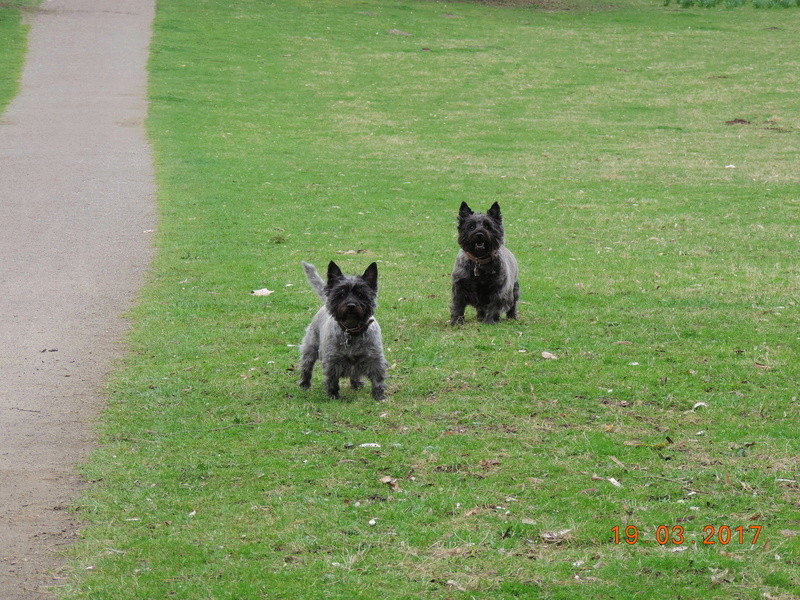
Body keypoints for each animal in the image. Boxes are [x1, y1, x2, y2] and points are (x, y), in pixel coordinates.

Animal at [300, 262, 388, 398]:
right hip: (311, 347)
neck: (352, 331)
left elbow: (378, 378)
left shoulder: (375, 358)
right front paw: (333, 395)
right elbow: (332, 379)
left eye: (361, 294)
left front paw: (378, 396)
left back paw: (357, 384)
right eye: (341, 294)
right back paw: (304, 384)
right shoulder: (332, 360)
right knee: (306, 365)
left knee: (355, 374)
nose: (351, 305)